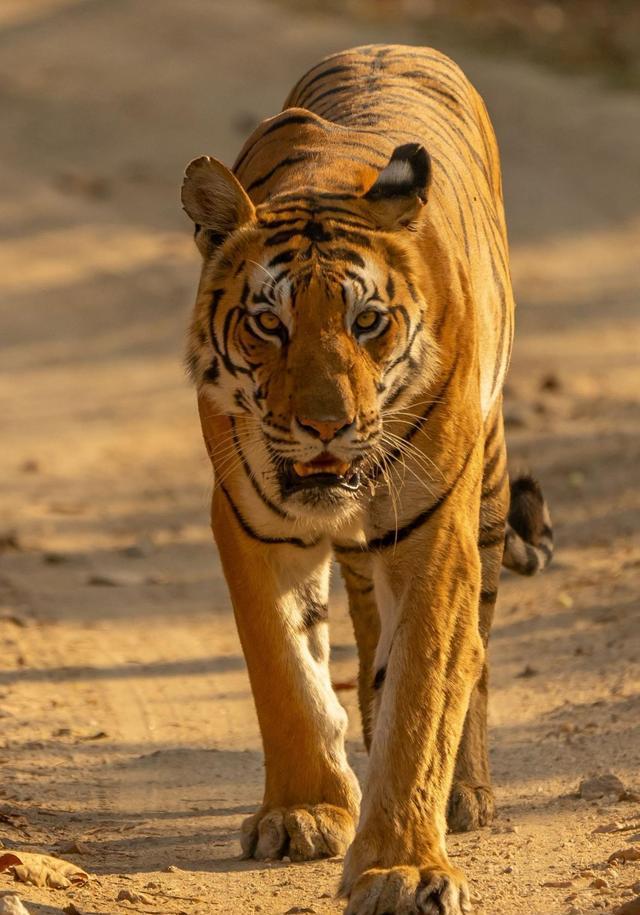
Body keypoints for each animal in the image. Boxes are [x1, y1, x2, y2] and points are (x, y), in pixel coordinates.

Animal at [182, 44, 552, 915]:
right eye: (268, 323)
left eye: (367, 321)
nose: (325, 424)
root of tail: (395, 45)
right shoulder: (249, 522)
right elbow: (284, 668)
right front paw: (304, 812)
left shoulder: (437, 537)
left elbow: (425, 689)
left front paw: (403, 866)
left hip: (487, 492)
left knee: (476, 647)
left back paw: (467, 791)